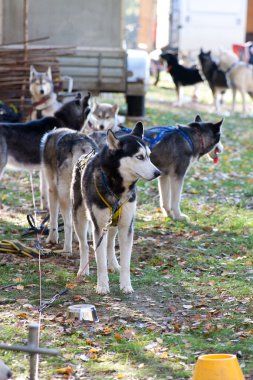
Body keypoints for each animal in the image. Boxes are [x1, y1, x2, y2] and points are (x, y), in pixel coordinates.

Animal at [70, 121, 160, 294]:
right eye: (139, 157)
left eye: (149, 155)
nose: (158, 173)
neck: (118, 188)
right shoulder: (98, 227)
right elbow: (100, 261)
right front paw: (102, 286)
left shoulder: (126, 226)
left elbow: (126, 262)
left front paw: (126, 285)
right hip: (80, 217)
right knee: (84, 245)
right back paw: (83, 270)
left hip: (113, 223)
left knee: (110, 244)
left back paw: (113, 264)